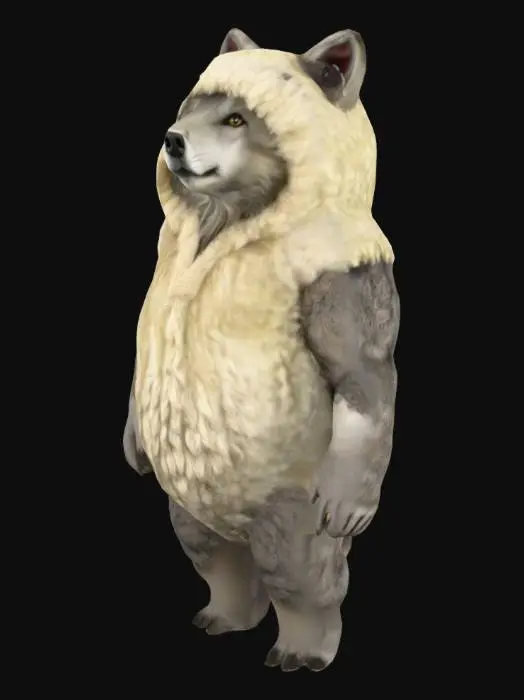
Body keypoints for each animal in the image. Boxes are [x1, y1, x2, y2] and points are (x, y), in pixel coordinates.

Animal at [123, 28, 400, 672]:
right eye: (190, 108)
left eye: (235, 118)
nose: (172, 140)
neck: (230, 220)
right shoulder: (164, 254)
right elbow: (143, 354)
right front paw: (132, 440)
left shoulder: (336, 268)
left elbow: (363, 373)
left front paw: (352, 502)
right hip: (190, 491)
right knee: (206, 544)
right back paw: (221, 612)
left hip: (289, 485)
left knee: (294, 565)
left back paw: (302, 647)